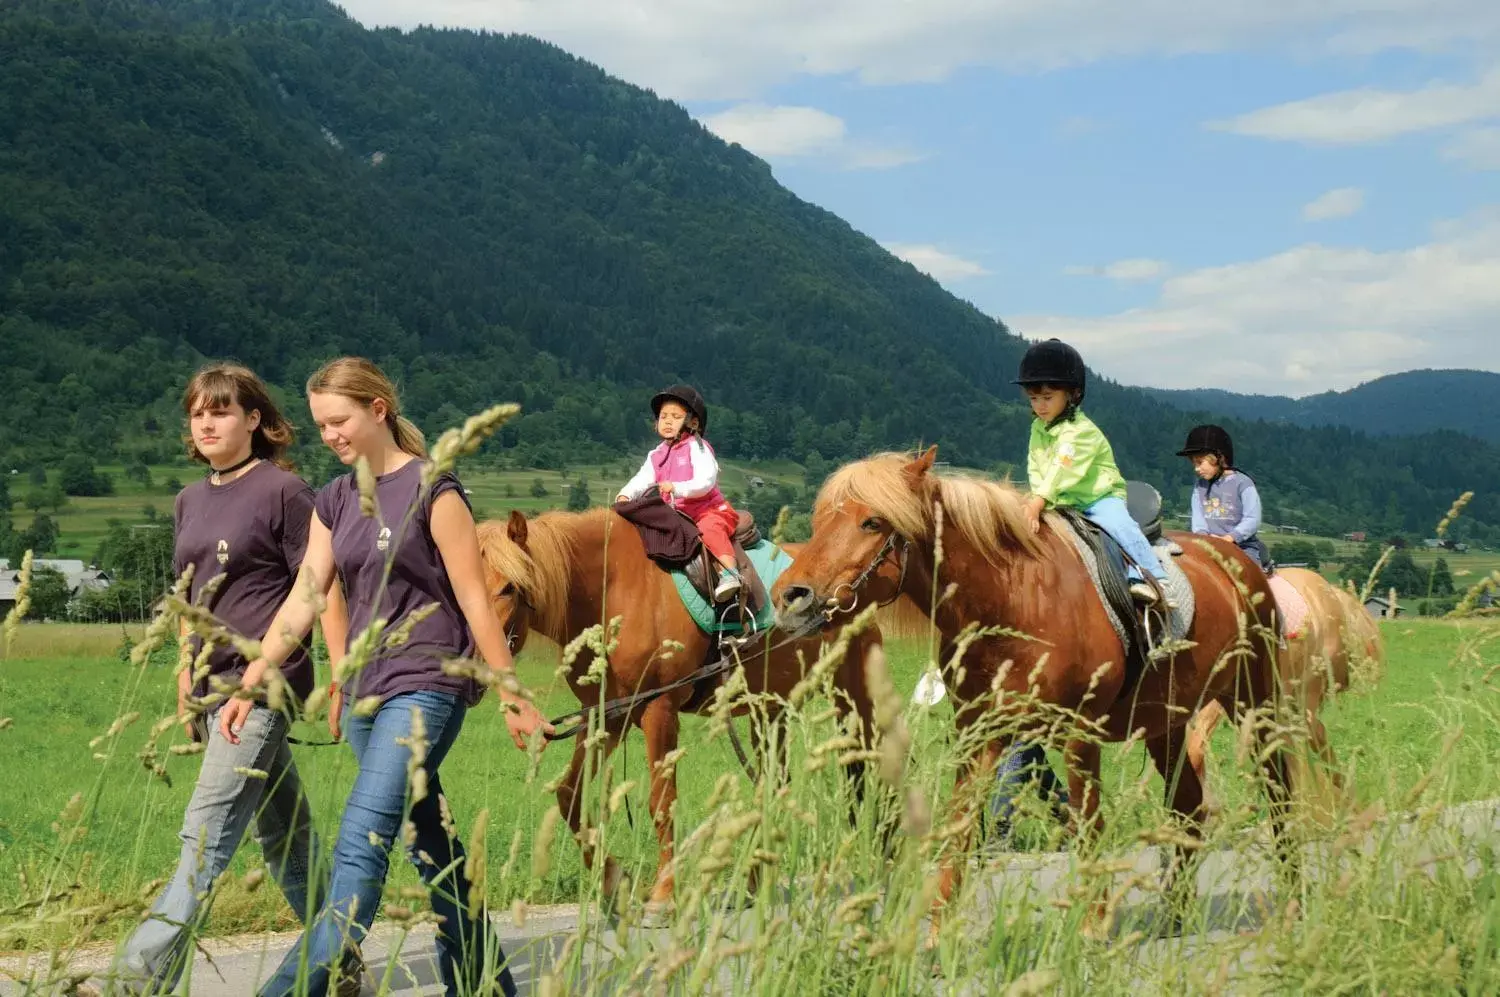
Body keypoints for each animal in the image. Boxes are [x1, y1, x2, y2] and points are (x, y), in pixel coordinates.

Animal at [474, 509, 882, 905]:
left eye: (509, 587)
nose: (477, 659)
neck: (611, 588)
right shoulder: (608, 717)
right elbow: (569, 796)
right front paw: (615, 882)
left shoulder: (659, 712)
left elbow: (662, 803)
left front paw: (664, 893)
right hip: (769, 714)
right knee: (772, 788)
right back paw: (756, 884)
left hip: (854, 704)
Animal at [768, 449, 1296, 917]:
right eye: (820, 520)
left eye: (872, 522)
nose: (789, 597)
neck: (1014, 600)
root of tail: (1235, 560)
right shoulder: (981, 734)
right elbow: (961, 825)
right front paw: (934, 933)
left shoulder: (1080, 735)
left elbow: (1089, 826)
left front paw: (1091, 927)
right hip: (1167, 722)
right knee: (1189, 808)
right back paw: (1175, 915)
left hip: (1256, 702)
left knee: (1279, 795)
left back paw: (1296, 901)